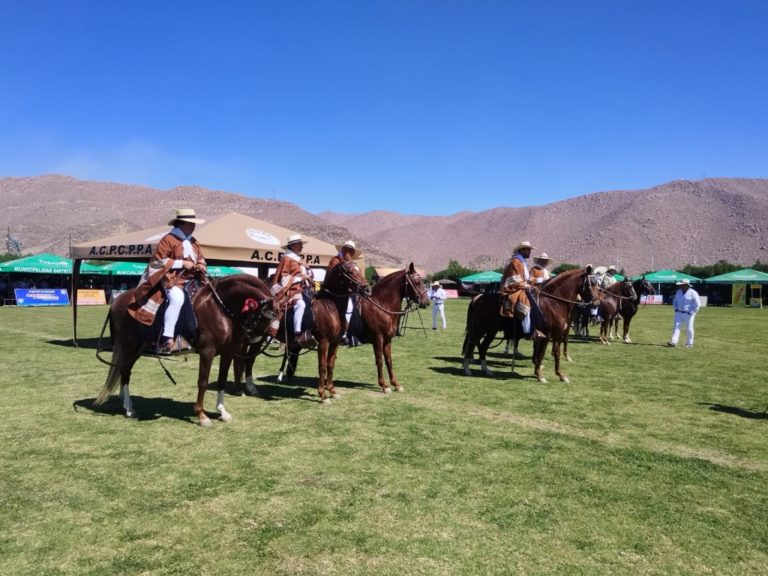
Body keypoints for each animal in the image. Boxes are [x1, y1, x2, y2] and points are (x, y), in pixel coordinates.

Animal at [94, 272, 276, 426]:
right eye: (267, 315)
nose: (257, 339)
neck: (218, 308)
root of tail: (117, 301)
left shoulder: (227, 352)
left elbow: (222, 380)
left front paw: (222, 411)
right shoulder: (207, 352)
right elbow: (202, 382)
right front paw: (202, 416)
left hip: (137, 348)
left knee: (125, 371)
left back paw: (126, 404)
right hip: (129, 345)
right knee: (125, 371)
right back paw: (129, 409)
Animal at [274, 258, 374, 402]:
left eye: (359, 270)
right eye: (350, 271)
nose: (367, 289)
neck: (331, 307)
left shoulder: (335, 342)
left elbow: (330, 365)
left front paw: (332, 390)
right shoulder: (323, 342)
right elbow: (322, 367)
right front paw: (322, 395)